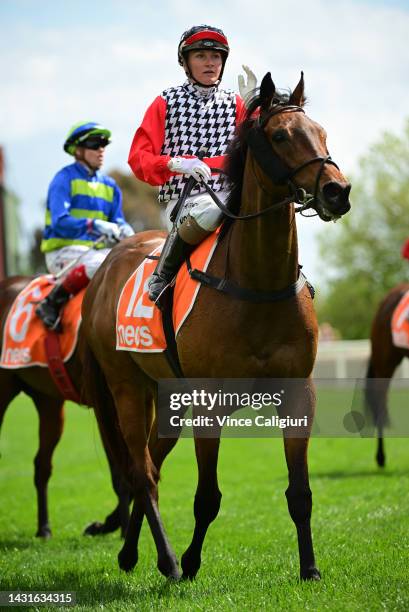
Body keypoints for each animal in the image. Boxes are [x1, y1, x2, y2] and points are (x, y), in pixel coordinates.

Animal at [0, 274, 130, 536]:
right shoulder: (105, 405)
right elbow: (120, 471)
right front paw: (116, 527)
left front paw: (110, 524)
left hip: (49, 401)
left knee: (42, 464)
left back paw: (44, 528)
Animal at [81, 74, 350, 580]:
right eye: (281, 136)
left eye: (322, 131)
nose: (336, 191)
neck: (257, 284)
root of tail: (105, 269)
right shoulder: (209, 404)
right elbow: (207, 496)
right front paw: (189, 562)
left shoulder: (298, 396)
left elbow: (300, 494)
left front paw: (309, 568)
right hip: (127, 388)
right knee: (141, 473)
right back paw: (166, 560)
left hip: (167, 396)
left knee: (150, 465)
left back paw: (131, 554)